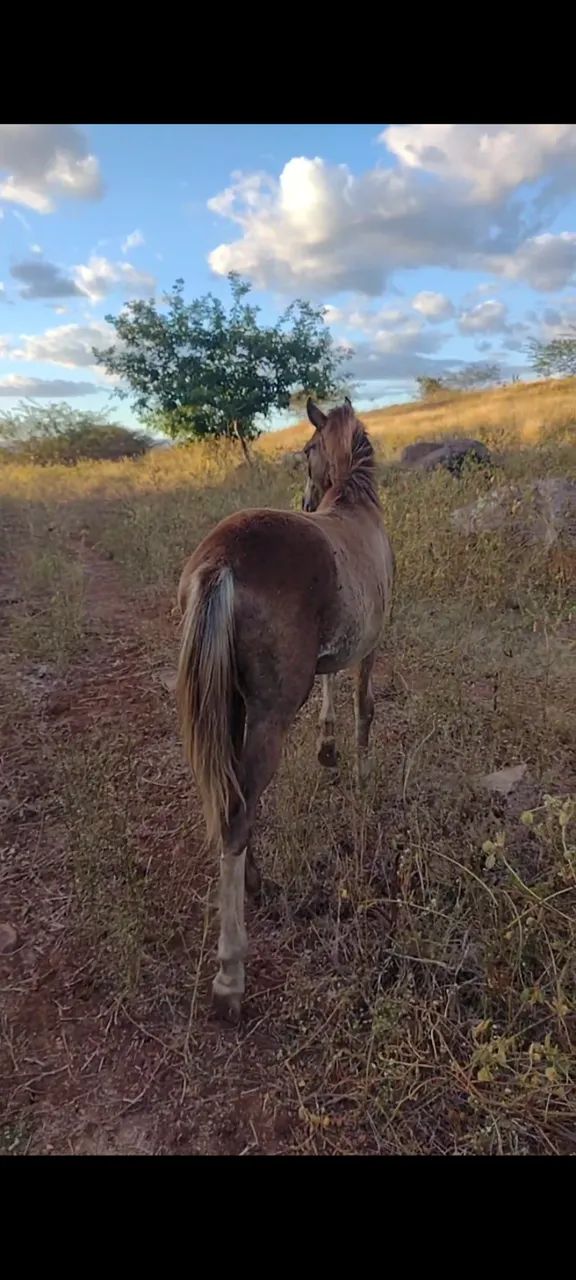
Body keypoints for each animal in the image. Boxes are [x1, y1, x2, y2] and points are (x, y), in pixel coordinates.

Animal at [176, 397, 395, 1021]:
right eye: (307, 450)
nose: (305, 500)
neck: (355, 506)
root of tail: (222, 560)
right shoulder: (372, 643)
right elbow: (365, 706)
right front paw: (362, 772)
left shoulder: (332, 654)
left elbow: (332, 687)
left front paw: (327, 750)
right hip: (268, 717)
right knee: (236, 814)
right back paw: (230, 974)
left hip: (230, 709)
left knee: (232, 797)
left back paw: (257, 884)